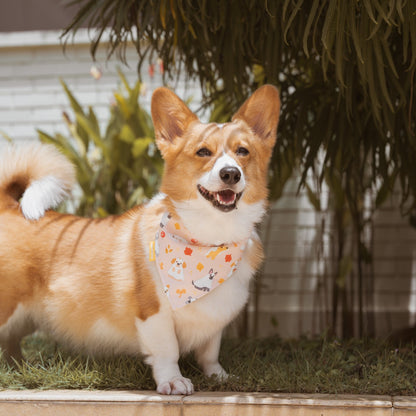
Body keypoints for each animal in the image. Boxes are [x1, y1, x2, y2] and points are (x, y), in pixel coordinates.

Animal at [0, 83, 282, 394]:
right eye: (203, 151)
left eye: (243, 151)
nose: (230, 173)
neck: (209, 240)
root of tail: (7, 206)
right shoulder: (154, 314)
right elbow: (167, 350)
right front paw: (173, 381)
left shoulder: (214, 321)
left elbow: (210, 351)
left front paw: (217, 376)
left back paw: (17, 367)